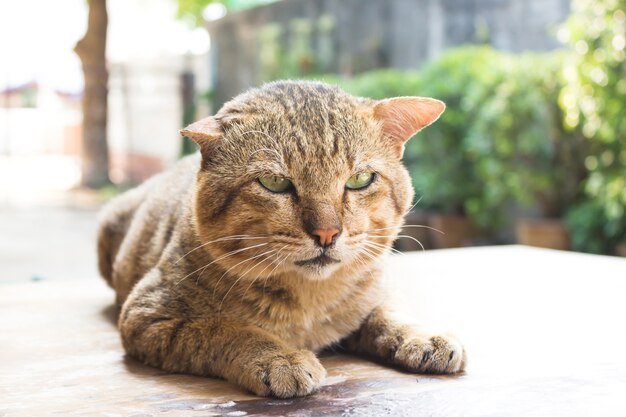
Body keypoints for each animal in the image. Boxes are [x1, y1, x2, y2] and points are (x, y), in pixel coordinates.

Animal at [97, 80, 464, 396]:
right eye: (274, 182)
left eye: (360, 179)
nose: (327, 232)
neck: (309, 301)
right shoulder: (148, 315)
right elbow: (227, 329)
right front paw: (279, 357)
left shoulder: (373, 293)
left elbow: (388, 313)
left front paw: (421, 334)